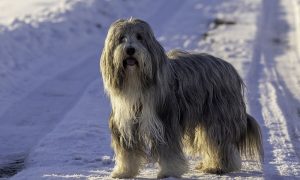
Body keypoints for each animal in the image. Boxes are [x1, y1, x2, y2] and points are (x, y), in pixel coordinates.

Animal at [100, 18, 262, 179]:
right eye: (121, 38)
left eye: (140, 37)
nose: (130, 50)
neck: (136, 83)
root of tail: (231, 69)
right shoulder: (125, 124)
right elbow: (127, 153)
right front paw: (124, 172)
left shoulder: (165, 122)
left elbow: (169, 152)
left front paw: (169, 172)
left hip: (218, 117)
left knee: (220, 143)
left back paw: (219, 166)